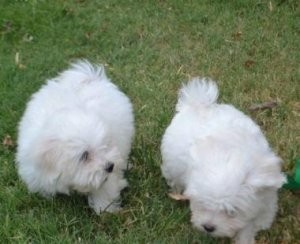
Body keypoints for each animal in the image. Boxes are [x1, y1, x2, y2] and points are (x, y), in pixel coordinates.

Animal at [15, 60, 134, 214]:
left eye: (105, 145)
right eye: (84, 155)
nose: (110, 166)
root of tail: (92, 79)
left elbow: (105, 189)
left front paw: (105, 209)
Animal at [162, 78, 286, 244]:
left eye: (232, 212)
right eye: (202, 204)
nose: (208, 227)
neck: (232, 154)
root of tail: (196, 105)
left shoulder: (264, 202)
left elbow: (250, 225)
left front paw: (244, 238)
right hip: (173, 162)